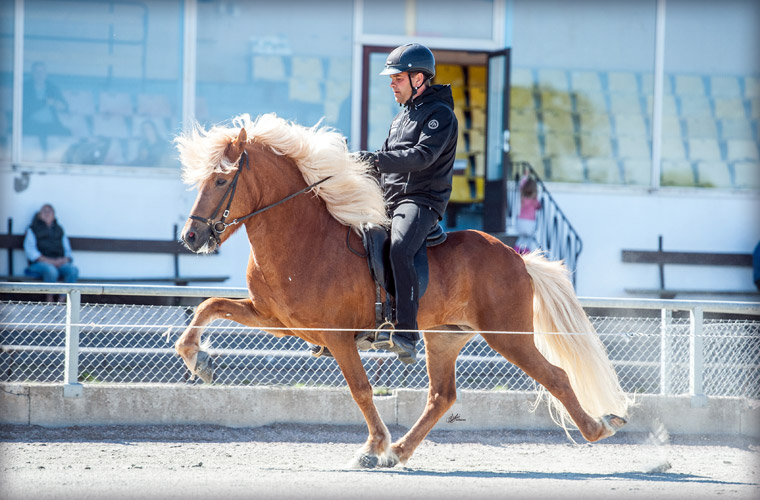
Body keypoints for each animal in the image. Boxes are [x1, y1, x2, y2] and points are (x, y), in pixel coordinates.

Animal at [172, 113, 628, 468]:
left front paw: (372, 448)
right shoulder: (278, 320)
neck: (303, 237)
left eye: (220, 181)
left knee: (556, 376)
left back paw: (599, 426)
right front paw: (199, 361)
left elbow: (360, 389)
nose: (191, 237)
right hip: (444, 337)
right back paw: (400, 451)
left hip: (508, 335)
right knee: (442, 396)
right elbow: (211, 305)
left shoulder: (338, 336)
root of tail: (517, 257)